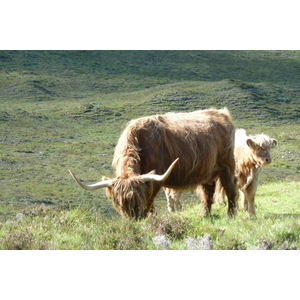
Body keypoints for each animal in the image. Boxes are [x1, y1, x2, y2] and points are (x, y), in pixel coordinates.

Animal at [69, 108, 238, 218]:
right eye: (119, 202)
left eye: (137, 198)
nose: (134, 218)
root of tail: (221, 112)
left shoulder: (155, 180)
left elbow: (150, 202)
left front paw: (151, 219)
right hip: (206, 170)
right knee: (208, 192)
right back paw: (205, 214)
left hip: (227, 165)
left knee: (231, 188)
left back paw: (231, 215)